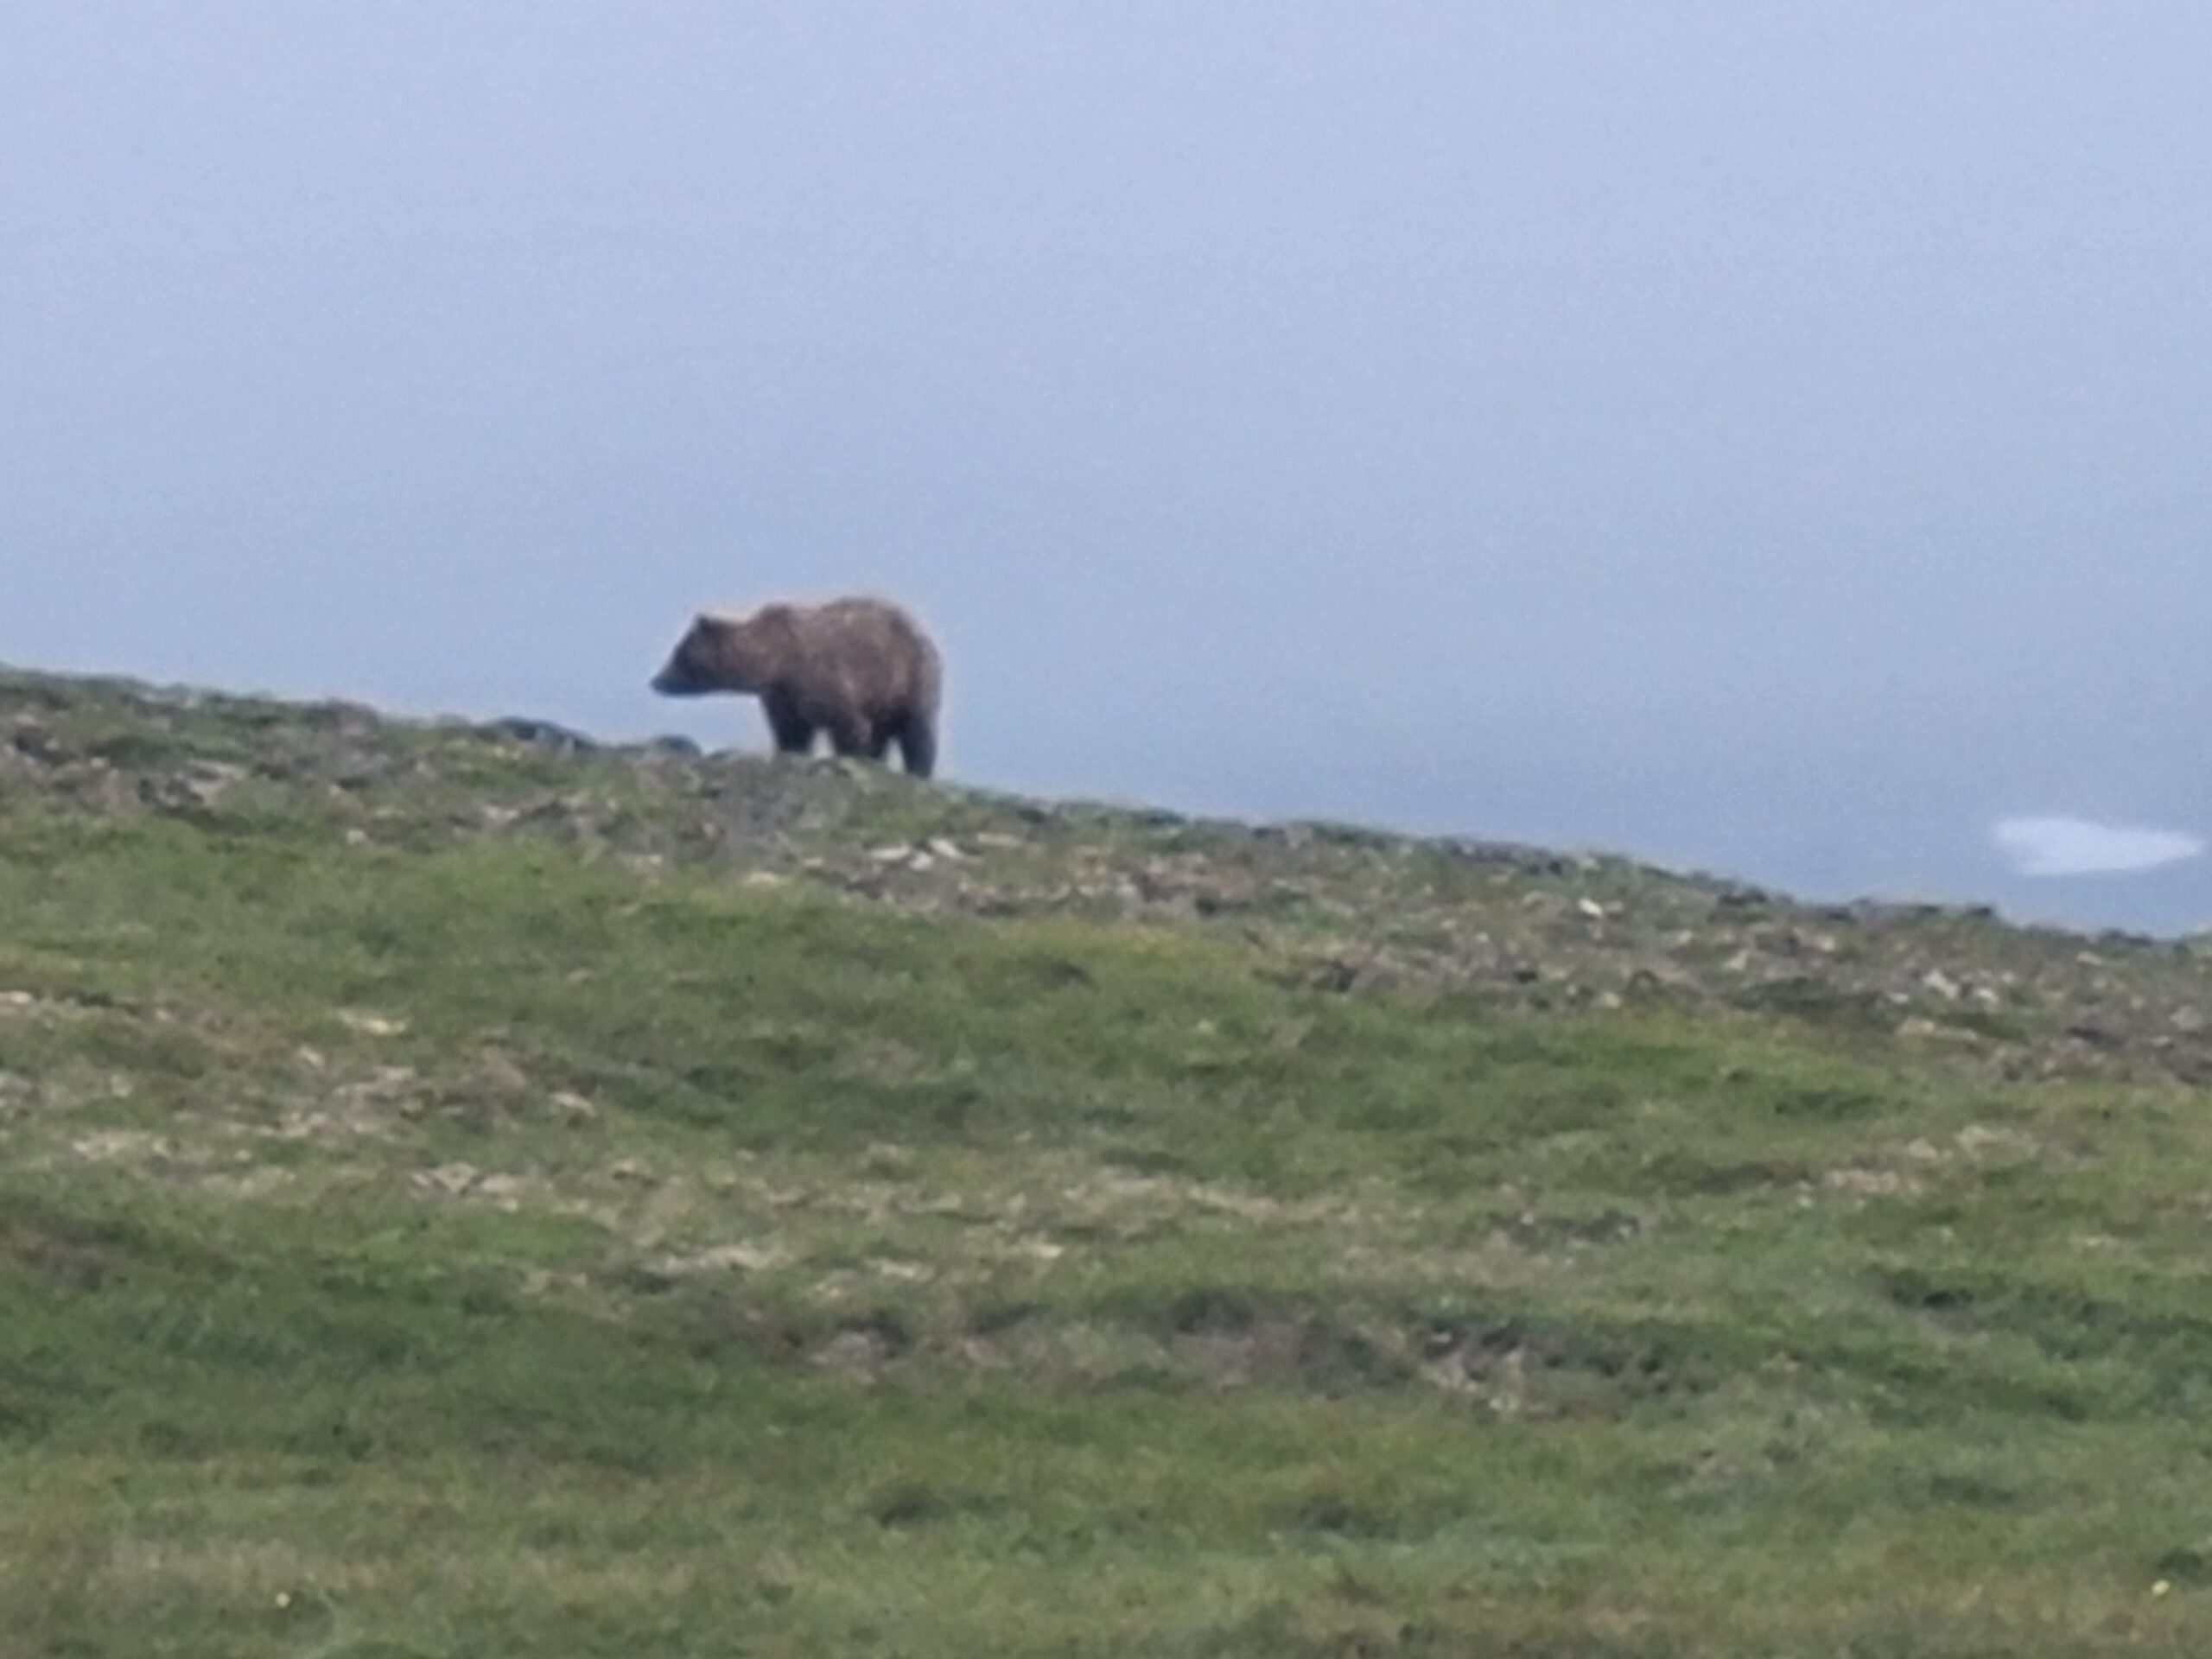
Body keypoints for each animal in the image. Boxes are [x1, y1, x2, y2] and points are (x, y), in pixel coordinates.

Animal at [650, 595, 942, 778]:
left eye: (679, 653)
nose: (657, 681)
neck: (776, 661)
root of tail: (922, 630)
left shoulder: (821, 679)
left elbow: (847, 723)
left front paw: (851, 755)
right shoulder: (782, 696)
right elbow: (791, 731)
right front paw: (792, 751)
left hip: (910, 675)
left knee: (917, 729)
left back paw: (918, 770)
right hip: (884, 696)